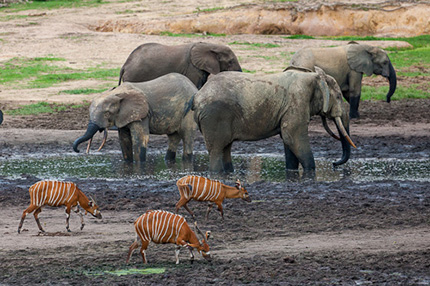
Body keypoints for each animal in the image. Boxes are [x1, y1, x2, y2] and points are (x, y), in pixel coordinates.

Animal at [192, 66, 356, 174]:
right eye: (339, 97)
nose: (334, 163)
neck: (313, 76)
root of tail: (198, 97)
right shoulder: (297, 101)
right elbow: (292, 136)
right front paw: (310, 172)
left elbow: (288, 140)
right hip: (215, 116)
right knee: (216, 150)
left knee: (226, 148)